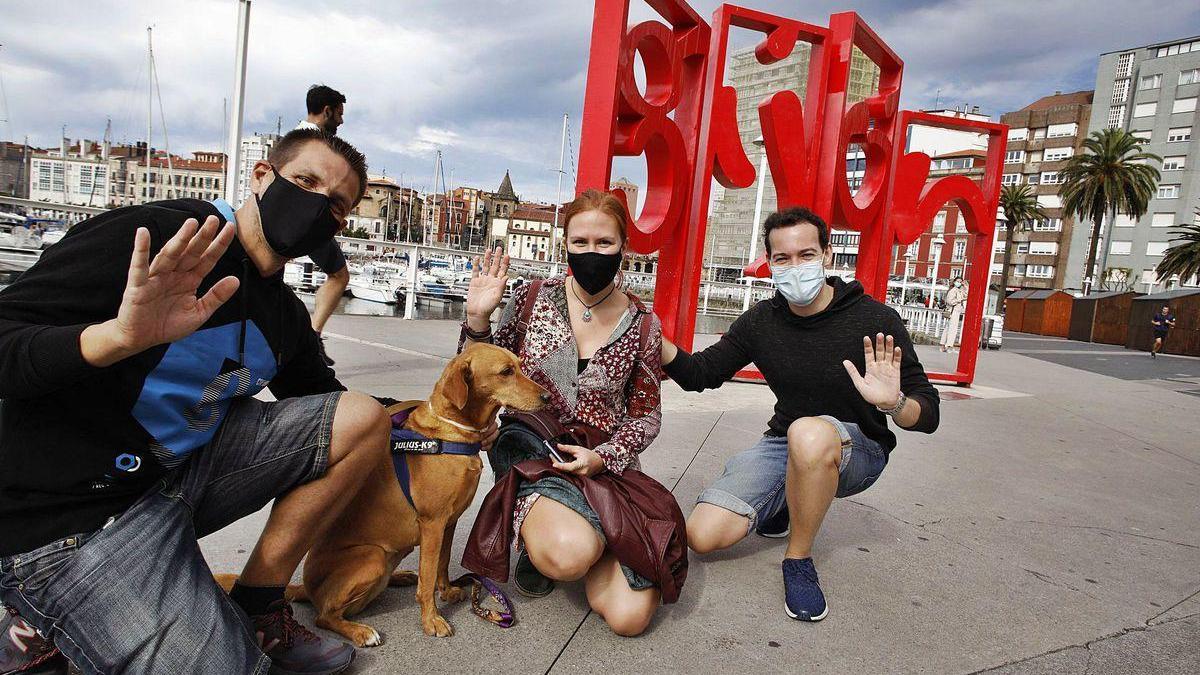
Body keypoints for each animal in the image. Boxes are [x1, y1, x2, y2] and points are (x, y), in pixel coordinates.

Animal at [220, 343, 549, 643]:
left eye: (519, 366)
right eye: (506, 372)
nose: (547, 396)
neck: (453, 432)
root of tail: (306, 588)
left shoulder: (449, 522)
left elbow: (441, 564)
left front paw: (446, 591)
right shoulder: (432, 523)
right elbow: (428, 576)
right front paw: (431, 619)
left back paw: (399, 577)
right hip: (373, 557)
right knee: (323, 616)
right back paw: (360, 631)